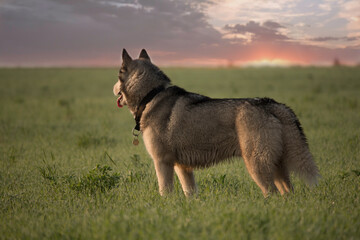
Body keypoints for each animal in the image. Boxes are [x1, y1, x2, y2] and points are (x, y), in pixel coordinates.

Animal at [114, 48, 320, 197]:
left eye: (118, 74)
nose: (112, 88)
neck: (151, 95)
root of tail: (272, 104)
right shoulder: (183, 167)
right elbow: (190, 193)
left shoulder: (162, 162)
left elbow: (165, 192)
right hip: (276, 166)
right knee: (287, 192)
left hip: (258, 166)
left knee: (273, 192)